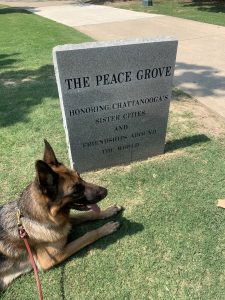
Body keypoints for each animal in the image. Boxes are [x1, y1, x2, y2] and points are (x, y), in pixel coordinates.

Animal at [0, 141, 121, 290]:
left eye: (80, 176)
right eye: (76, 190)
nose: (105, 191)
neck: (32, 218)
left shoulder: (63, 222)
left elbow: (86, 215)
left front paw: (108, 211)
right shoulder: (49, 259)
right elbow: (88, 235)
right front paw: (106, 228)